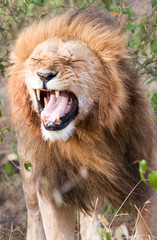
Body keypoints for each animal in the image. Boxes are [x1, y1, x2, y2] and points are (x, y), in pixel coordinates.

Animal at [7, 9, 157, 240]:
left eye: (73, 61)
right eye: (37, 59)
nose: (44, 75)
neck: (82, 140)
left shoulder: (145, 184)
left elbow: (145, 231)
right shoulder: (51, 190)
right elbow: (57, 232)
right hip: (30, 180)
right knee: (33, 216)